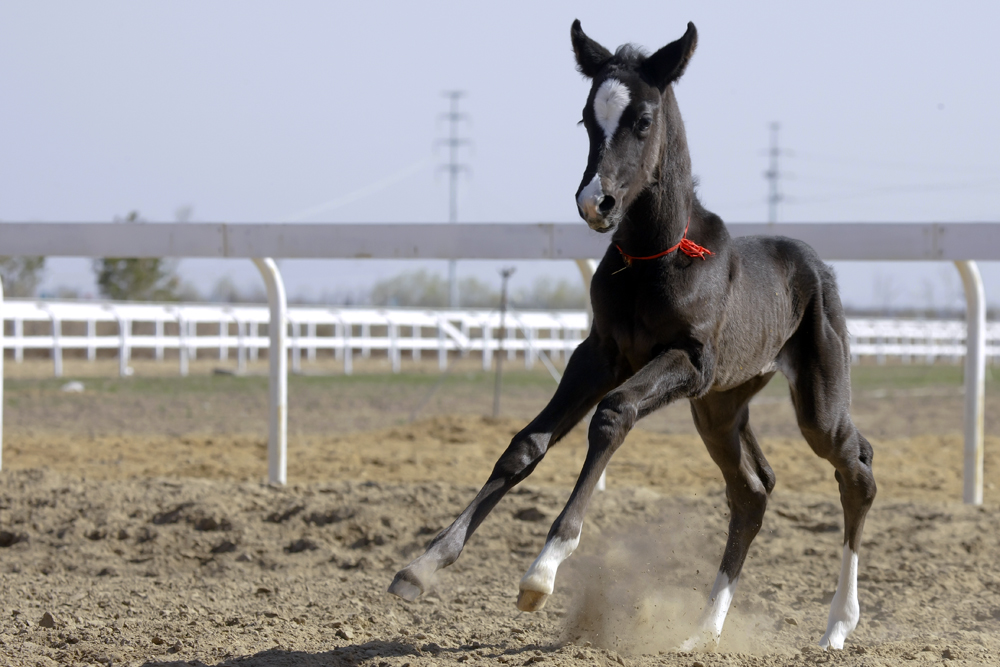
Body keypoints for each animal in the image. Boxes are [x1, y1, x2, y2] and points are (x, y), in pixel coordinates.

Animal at [390, 20, 876, 652]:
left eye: (643, 120)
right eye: (584, 118)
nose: (594, 202)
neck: (655, 257)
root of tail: (815, 264)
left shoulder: (686, 361)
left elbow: (612, 416)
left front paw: (542, 573)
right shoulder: (601, 354)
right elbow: (526, 443)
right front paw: (422, 565)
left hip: (814, 402)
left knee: (855, 471)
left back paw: (837, 625)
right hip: (719, 409)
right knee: (751, 492)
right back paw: (702, 631)